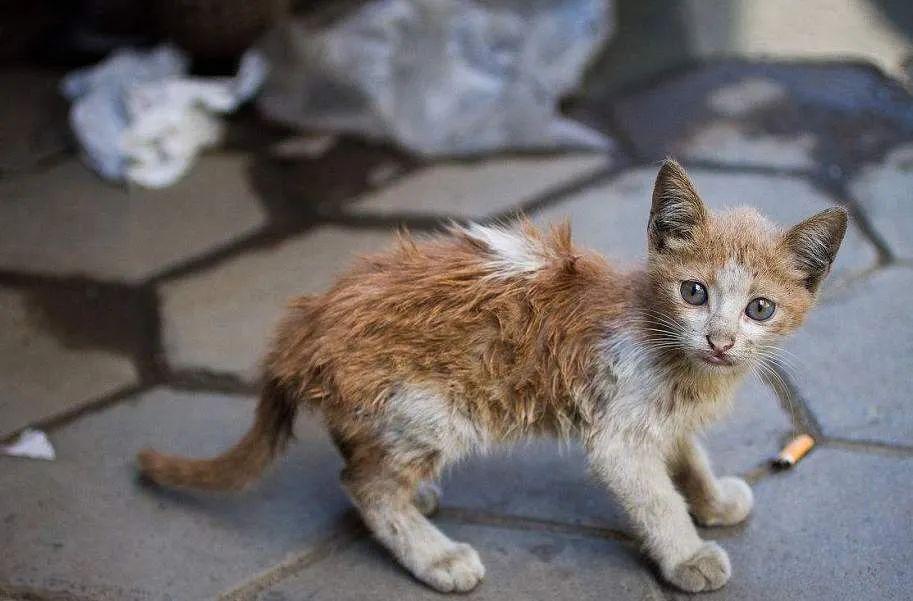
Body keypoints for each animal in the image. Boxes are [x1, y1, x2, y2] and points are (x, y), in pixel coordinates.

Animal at [137, 161, 848, 596]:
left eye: (760, 308)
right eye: (694, 292)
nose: (720, 341)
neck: (669, 346)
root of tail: (310, 318)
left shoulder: (664, 417)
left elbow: (688, 454)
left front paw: (713, 499)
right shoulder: (619, 432)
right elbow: (654, 498)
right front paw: (686, 553)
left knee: (360, 466)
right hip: (430, 408)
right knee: (365, 488)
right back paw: (435, 555)